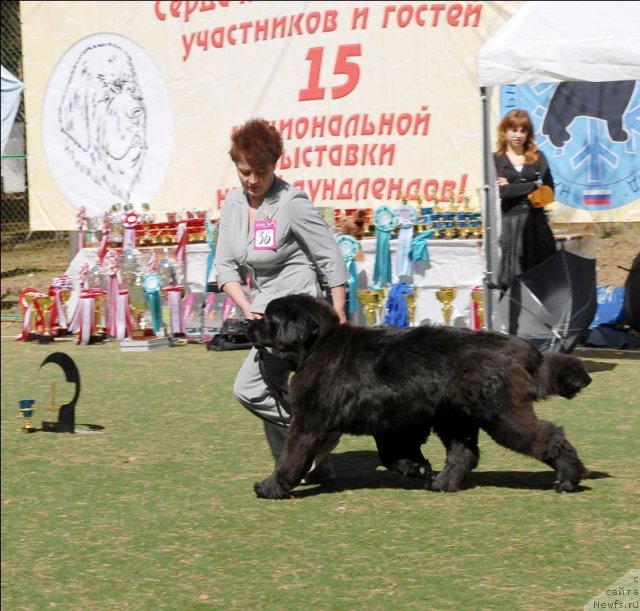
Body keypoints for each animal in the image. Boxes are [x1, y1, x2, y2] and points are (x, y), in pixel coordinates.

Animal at [248, 294, 592, 500]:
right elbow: (392, 456)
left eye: (269, 318)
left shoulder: (309, 422)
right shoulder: (389, 423)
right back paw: (443, 483)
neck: (316, 347)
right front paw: (419, 469)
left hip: (502, 415)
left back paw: (569, 478)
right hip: (455, 418)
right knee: (464, 453)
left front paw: (270, 486)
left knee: (548, 435)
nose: (249, 323)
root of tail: (520, 348)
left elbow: (291, 456)